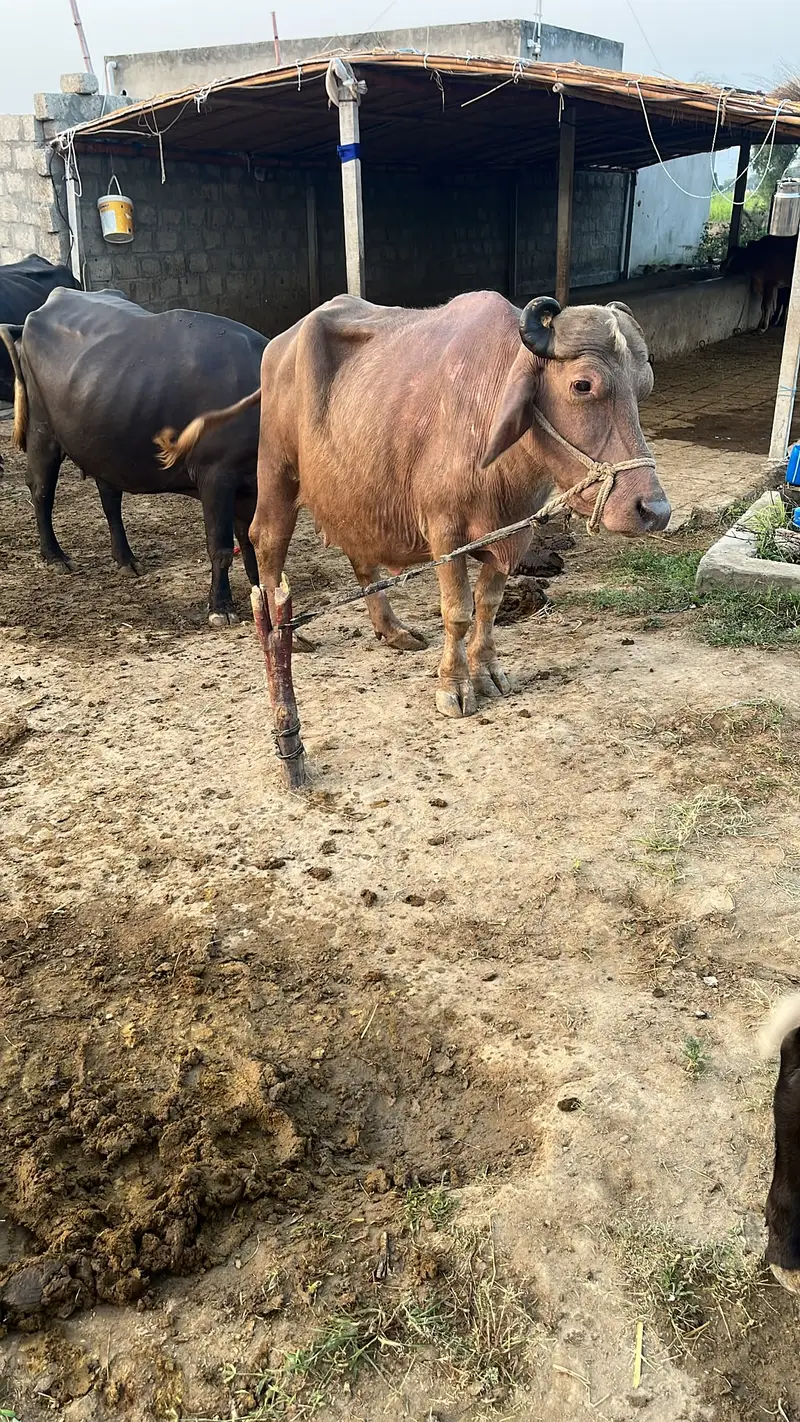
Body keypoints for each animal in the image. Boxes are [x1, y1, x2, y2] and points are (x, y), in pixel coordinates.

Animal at [0, 288, 267, 627]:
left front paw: (263, 589)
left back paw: (126, 559)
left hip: (102, 443)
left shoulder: (250, 485)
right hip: (42, 431)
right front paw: (221, 607)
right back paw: (55, 556)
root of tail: (39, 312)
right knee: (41, 488)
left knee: (110, 498)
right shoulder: (216, 477)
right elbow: (220, 547)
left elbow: (252, 539)